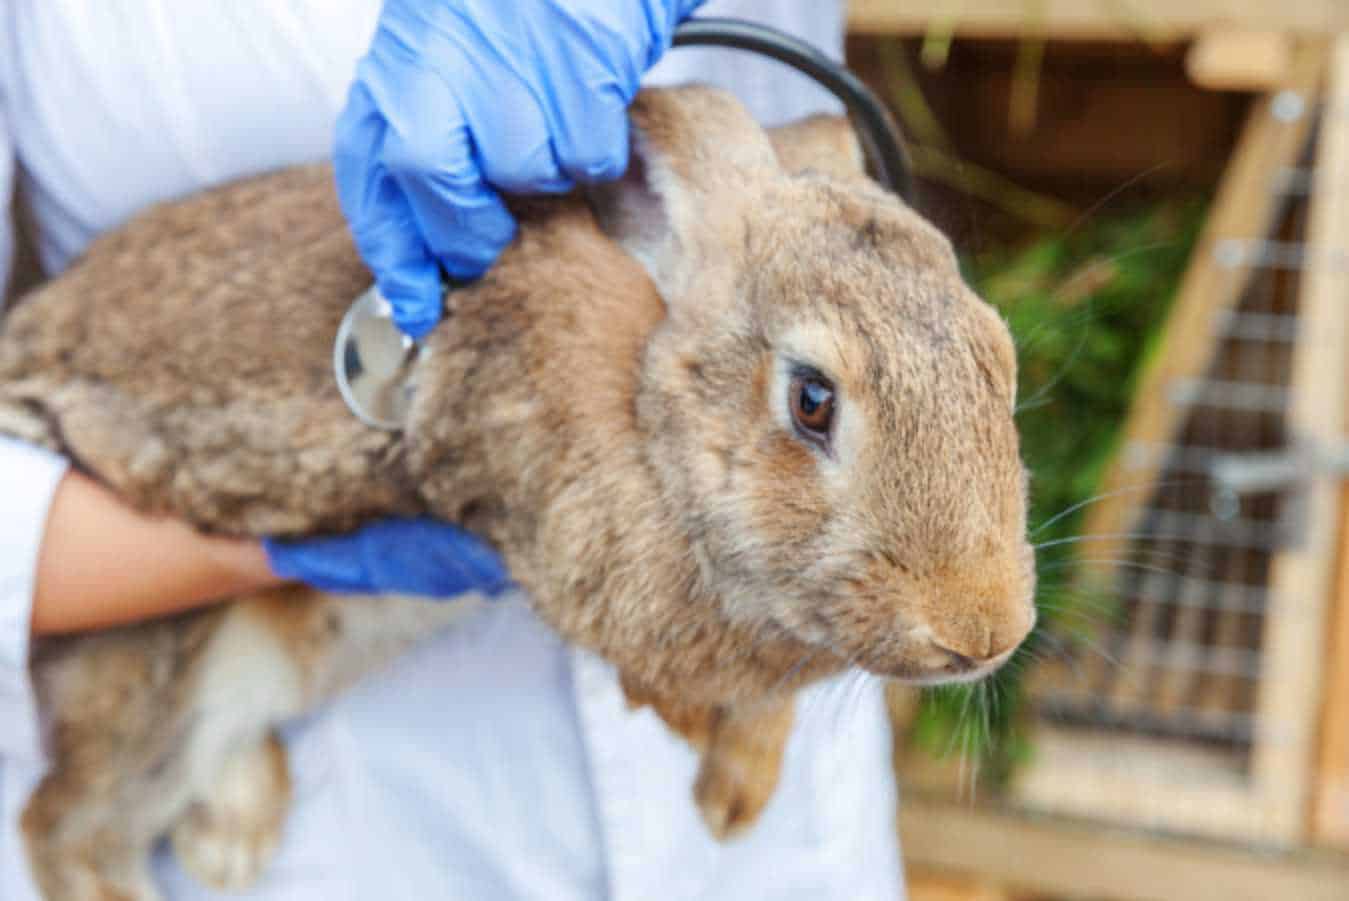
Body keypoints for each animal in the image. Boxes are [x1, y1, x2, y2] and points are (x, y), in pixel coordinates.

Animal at [0, 86, 1036, 901]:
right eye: (811, 399)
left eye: (1000, 357)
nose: (981, 630)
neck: (648, 393)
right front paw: (714, 776)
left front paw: (734, 802)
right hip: (152, 674)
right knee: (62, 825)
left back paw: (235, 832)